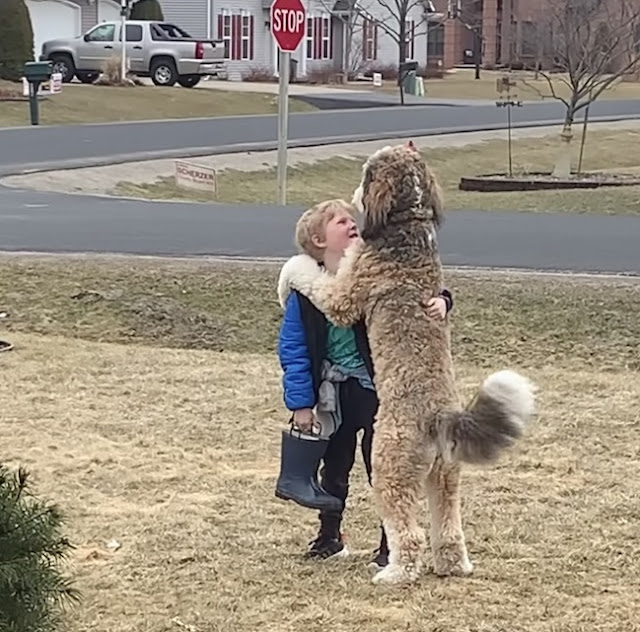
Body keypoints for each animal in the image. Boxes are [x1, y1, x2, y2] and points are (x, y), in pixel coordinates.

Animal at [294, 141, 536, 584]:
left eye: (368, 173)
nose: (355, 195)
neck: (409, 222)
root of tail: (442, 417)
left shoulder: (346, 295)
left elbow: (320, 284)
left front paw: (294, 267)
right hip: (446, 476)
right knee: (449, 530)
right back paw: (454, 566)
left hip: (389, 466)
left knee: (409, 533)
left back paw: (395, 572)